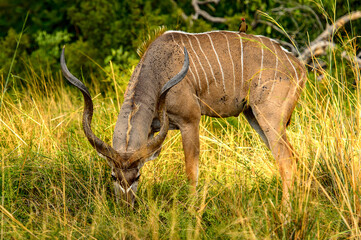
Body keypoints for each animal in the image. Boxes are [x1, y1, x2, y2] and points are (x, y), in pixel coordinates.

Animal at [60, 30, 306, 206]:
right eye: (113, 176)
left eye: (137, 177)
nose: (125, 207)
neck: (159, 70)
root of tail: (298, 66)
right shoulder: (153, 129)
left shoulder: (190, 121)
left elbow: (191, 171)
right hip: (254, 116)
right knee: (292, 157)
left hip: (269, 117)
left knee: (287, 160)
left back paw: (285, 214)